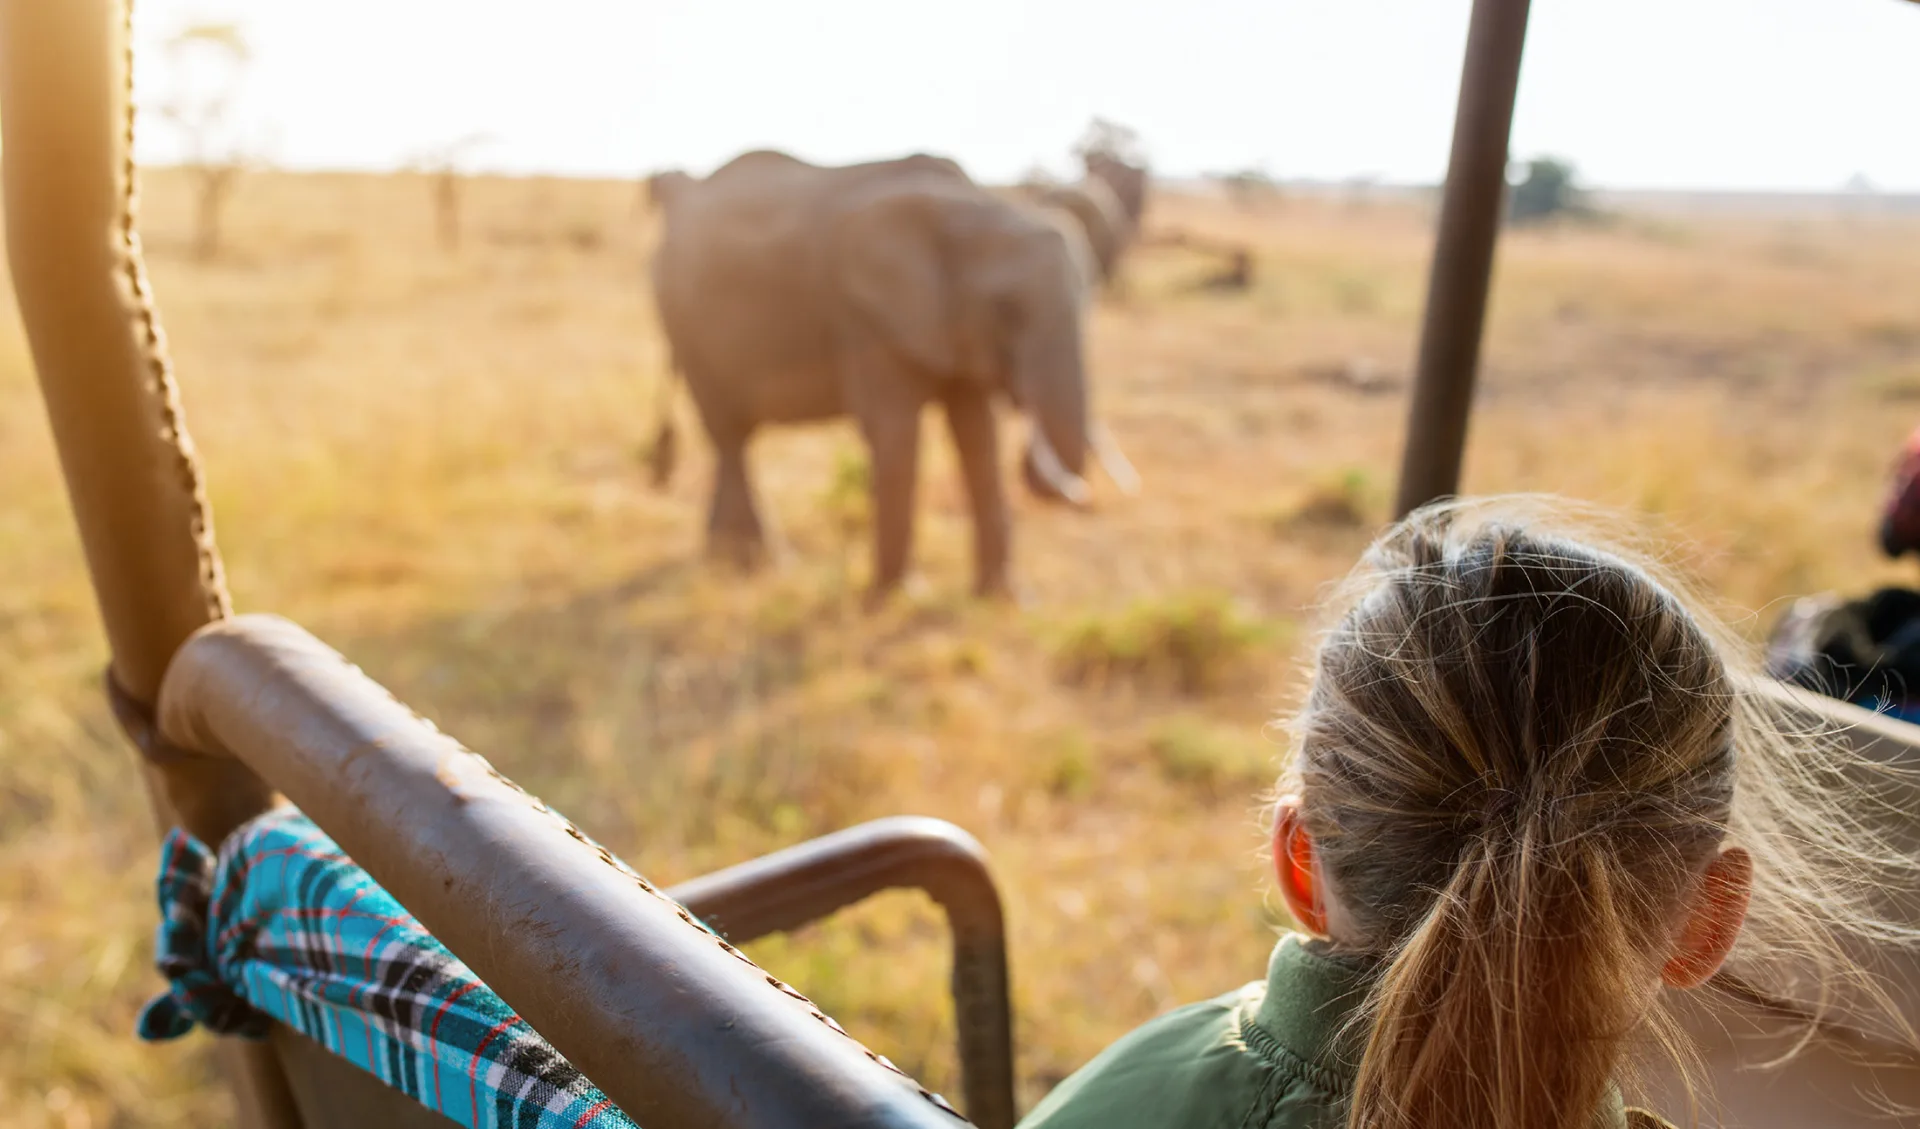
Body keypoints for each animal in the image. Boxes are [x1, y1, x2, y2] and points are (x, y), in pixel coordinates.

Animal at [652, 154, 1128, 602]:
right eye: (1006, 309)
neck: (968, 208)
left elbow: (979, 436)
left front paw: (1007, 600)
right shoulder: (865, 315)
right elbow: (896, 434)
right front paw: (899, 598)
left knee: (730, 439)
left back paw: (724, 560)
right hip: (685, 322)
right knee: (729, 434)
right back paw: (761, 565)